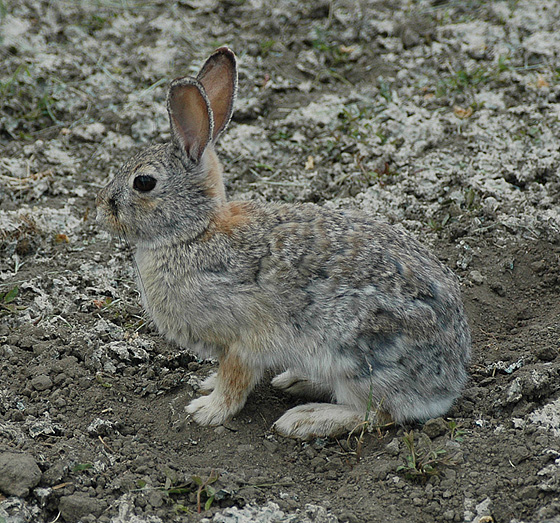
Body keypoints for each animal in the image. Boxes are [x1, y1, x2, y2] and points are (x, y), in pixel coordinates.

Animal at [95, 48, 468, 438]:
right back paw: (295, 381)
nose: (100, 209)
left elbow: (235, 379)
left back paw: (305, 419)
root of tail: (449, 383)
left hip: (358, 356)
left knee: (377, 413)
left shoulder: (244, 339)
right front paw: (208, 386)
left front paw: (207, 410)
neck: (195, 231)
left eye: (144, 182)